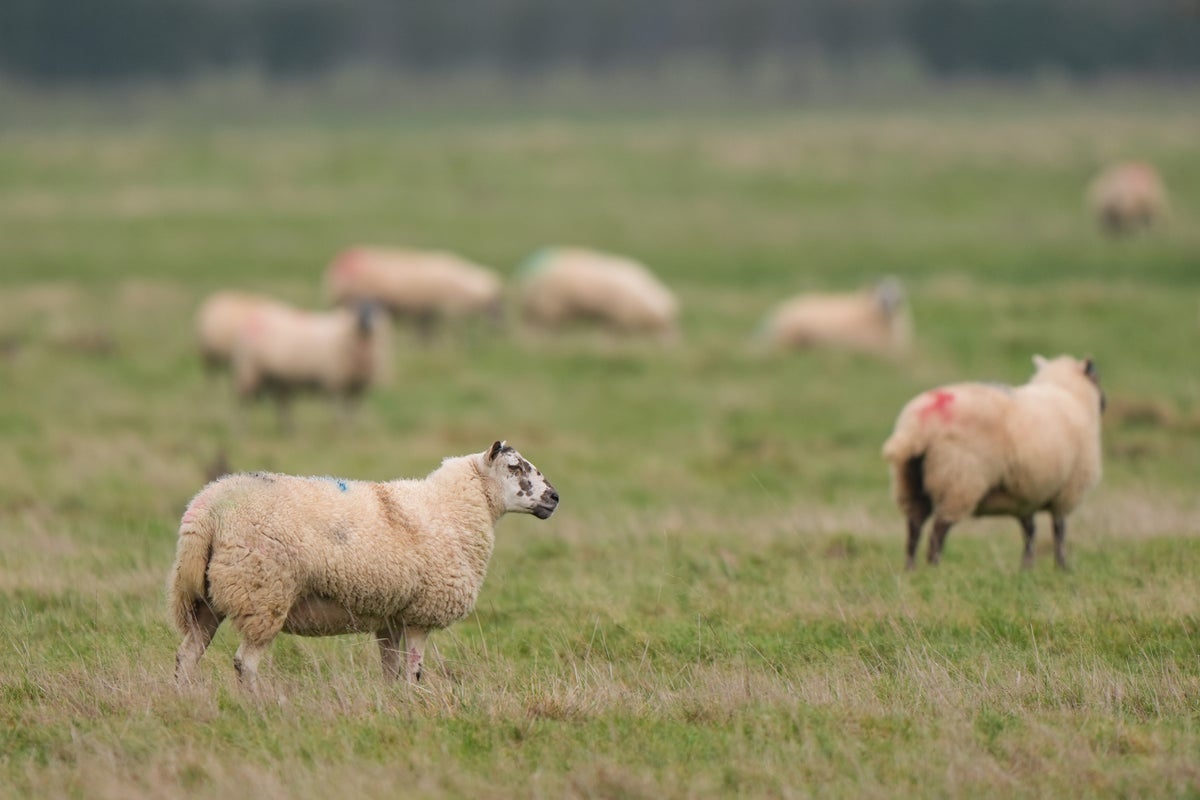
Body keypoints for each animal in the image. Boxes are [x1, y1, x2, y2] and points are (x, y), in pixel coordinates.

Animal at [169, 440, 559, 691]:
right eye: (514, 467)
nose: (554, 497)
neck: (449, 509)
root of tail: (206, 510)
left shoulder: (391, 618)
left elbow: (391, 671)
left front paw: (393, 707)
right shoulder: (421, 614)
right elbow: (413, 672)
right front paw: (416, 707)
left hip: (206, 598)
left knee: (186, 656)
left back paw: (185, 703)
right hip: (263, 594)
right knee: (244, 663)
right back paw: (259, 708)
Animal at [230, 301, 390, 428]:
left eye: (375, 310)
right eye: (358, 310)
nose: (368, 325)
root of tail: (248, 319)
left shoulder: (357, 386)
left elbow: (352, 408)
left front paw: (351, 426)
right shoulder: (334, 382)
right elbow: (338, 407)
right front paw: (340, 427)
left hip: (276, 379)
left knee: (281, 403)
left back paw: (288, 428)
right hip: (248, 371)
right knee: (242, 402)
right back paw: (241, 428)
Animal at [881, 354, 1105, 571]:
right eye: (1097, 379)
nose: (1104, 402)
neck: (1070, 393)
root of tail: (917, 427)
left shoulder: (1024, 495)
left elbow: (1029, 530)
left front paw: (1027, 568)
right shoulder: (1067, 492)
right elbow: (1059, 530)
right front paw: (1062, 566)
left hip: (908, 480)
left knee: (914, 527)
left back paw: (911, 569)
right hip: (960, 478)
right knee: (939, 530)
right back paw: (934, 569)